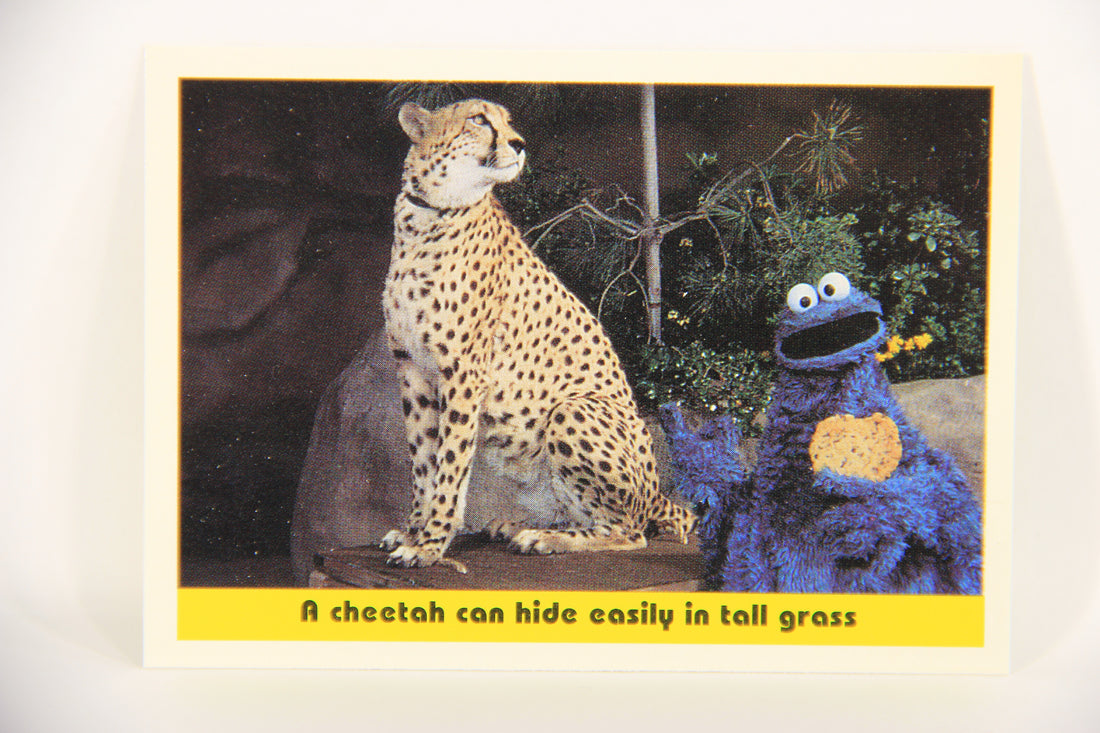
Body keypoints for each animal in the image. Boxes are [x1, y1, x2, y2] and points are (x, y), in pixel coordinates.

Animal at [379, 98, 696, 570]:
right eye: (479, 119)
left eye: (508, 121)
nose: (520, 143)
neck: (429, 212)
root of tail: (657, 494)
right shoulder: (412, 370)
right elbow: (422, 460)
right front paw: (414, 531)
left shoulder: (463, 373)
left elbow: (450, 462)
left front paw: (430, 544)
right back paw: (516, 526)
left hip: (573, 409)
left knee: (630, 532)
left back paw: (544, 539)